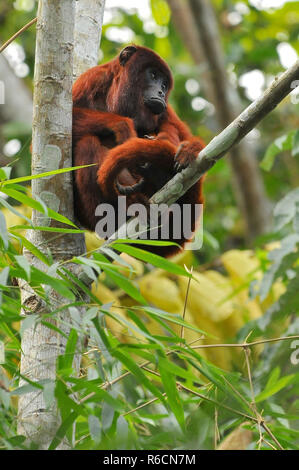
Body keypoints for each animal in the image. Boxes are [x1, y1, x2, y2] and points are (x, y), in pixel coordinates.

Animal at [72, 45, 205, 258]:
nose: (161, 91)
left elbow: (181, 133)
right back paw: (129, 206)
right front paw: (121, 125)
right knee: (87, 143)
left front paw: (188, 149)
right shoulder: (92, 80)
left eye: (165, 84)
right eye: (153, 75)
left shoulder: (166, 109)